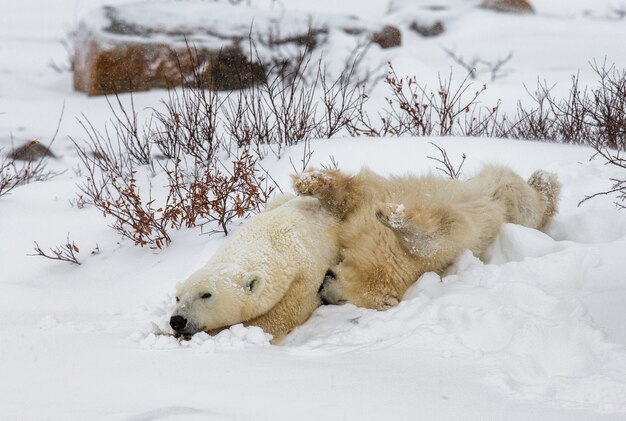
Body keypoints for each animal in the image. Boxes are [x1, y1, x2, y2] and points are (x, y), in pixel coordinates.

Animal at [292, 164, 560, 308]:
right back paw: (541, 179)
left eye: (343, 302)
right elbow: (349, 198)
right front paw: (309, 181)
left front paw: (394, 218)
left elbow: (437, 239)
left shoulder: (433, 249)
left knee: (529, 206)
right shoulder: (364, 212)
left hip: (510, 206)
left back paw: (544, 181)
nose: (321, 289)